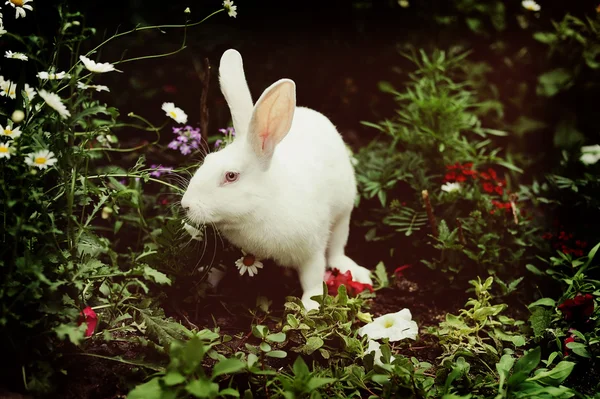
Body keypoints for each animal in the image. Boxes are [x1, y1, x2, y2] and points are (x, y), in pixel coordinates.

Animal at [180, 50, 372, 310]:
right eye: (208, 159)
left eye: (231, 176)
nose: (186, 205)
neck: (261, 205)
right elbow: (220, 267)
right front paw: (204, 283)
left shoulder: (312, 248)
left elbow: (313, 276)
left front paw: (310, 306)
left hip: (343, 213)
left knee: (337, 248)